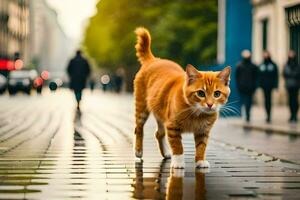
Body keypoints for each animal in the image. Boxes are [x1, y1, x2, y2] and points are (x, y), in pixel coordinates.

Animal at [133, 27, 230, 168]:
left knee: (159, 133)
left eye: (217, 94)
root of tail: (154, 59)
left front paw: (200, 160)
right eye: (201, 93)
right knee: (138, 128)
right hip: (142, 107)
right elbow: (178, 146)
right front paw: (178, 162)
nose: (210, 104)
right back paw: (138, 151)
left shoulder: (203, 131)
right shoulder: (172, 126)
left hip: (159, 111)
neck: (197, 114)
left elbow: (201, 146)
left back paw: (166, 153)